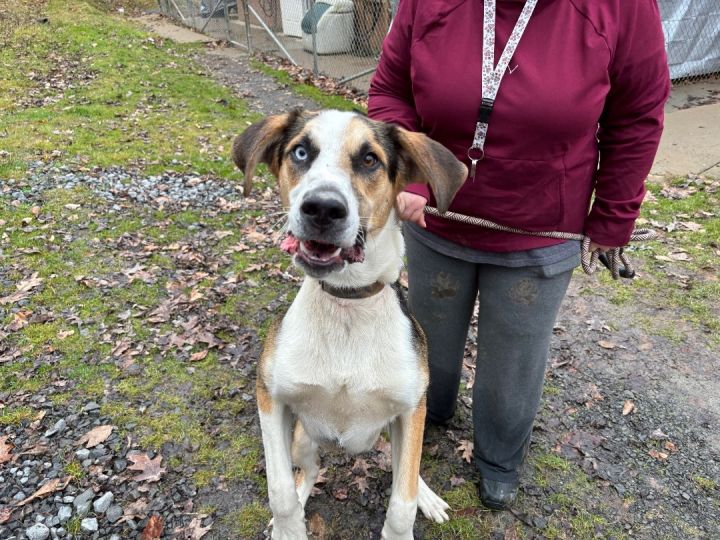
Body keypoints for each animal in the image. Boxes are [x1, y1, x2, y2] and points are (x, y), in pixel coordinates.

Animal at [232, 110, 466, 540]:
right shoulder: (270, 397)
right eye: (301, 152)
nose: (322, 209)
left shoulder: (411, 410)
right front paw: (288, 528)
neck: (348, 305)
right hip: (302, 440)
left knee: (404, 471)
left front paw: (407, 519)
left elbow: (402, 502)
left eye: (369, 159)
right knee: (308, 471)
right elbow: (280, 490)